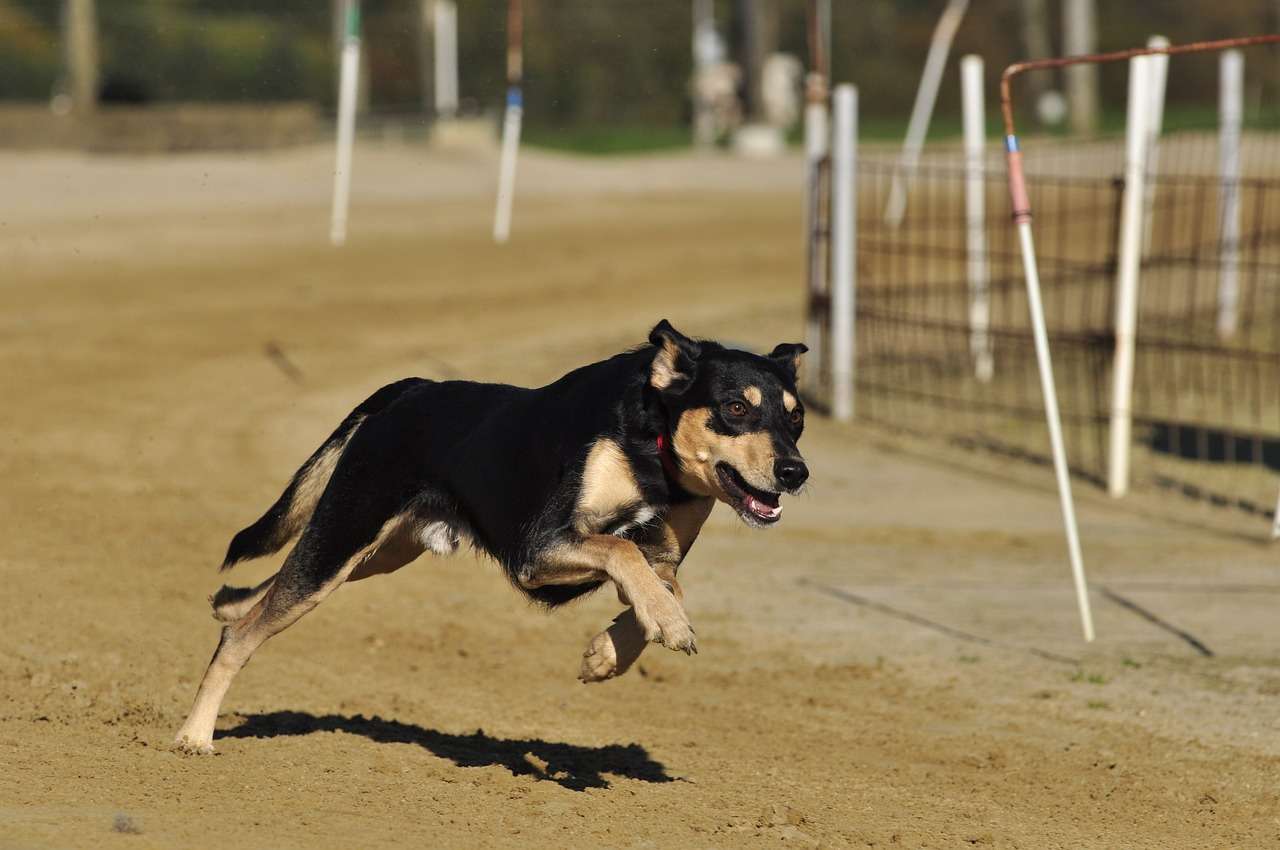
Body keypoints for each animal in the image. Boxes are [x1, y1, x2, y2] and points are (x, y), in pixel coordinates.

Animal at [175, 318, 808, 752]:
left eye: (797, 417)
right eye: (735, 408)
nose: (795, 472)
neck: (651, 450)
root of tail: (411, 388)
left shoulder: (663, 557)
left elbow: (660, 585)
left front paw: (607, 654)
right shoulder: (537, 548)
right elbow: (622, 549)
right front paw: (666, 628)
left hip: (376, 551)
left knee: (261, 598)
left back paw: (228, 605)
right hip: (345, 535)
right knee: (243, 636)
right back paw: (194, 736)